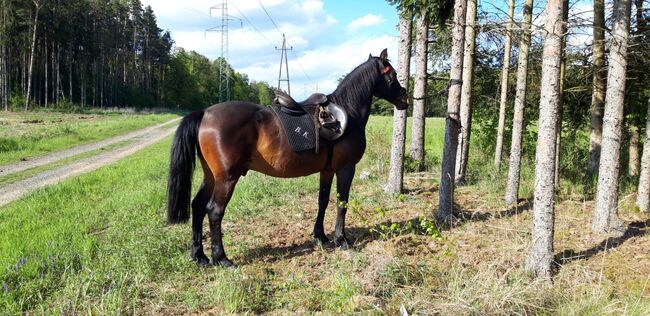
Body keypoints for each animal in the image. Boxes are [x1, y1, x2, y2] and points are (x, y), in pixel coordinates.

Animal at [168, 49, 404, 266]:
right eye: (392, 75)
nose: (405, 98)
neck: (348, 113)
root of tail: (205, 113)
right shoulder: (346, 168)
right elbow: (341, 202)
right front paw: (341, 239)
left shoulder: (327, 170)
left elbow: (322, 201)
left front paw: (321, 236)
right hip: (226, 178)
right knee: (214, 211)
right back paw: (221, 258)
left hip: (211, 176)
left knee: (198, 206)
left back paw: (199, 256)